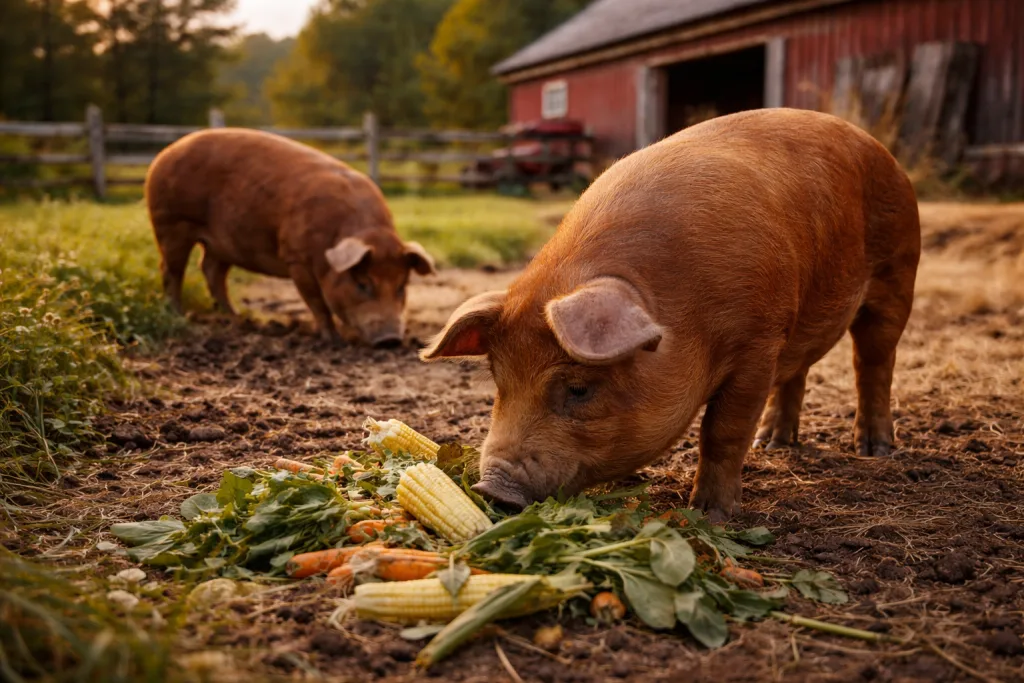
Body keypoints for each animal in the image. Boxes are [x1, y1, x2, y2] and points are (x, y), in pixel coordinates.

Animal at [145, 128, 435, 347]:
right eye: (363, 284)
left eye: (402, 286)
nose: (390, 340)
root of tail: (165, 152)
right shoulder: (296, 258)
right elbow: (317, 302)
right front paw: (333, 340)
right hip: (171, 222)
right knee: (171, 270)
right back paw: (179, 315)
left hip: (222, 243)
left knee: (210, 269)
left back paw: (237, 317)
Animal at [421, 108, 921, 522]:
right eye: (498, 381)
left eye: (579, 388)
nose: (492, 489)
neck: (683, 312)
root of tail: (879, 147)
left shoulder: (757, 343)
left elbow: (723, 430)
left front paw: (710, 515)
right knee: (798, 370)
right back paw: (775, 443)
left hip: (898, 270)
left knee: (874, 361)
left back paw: (876, 450)